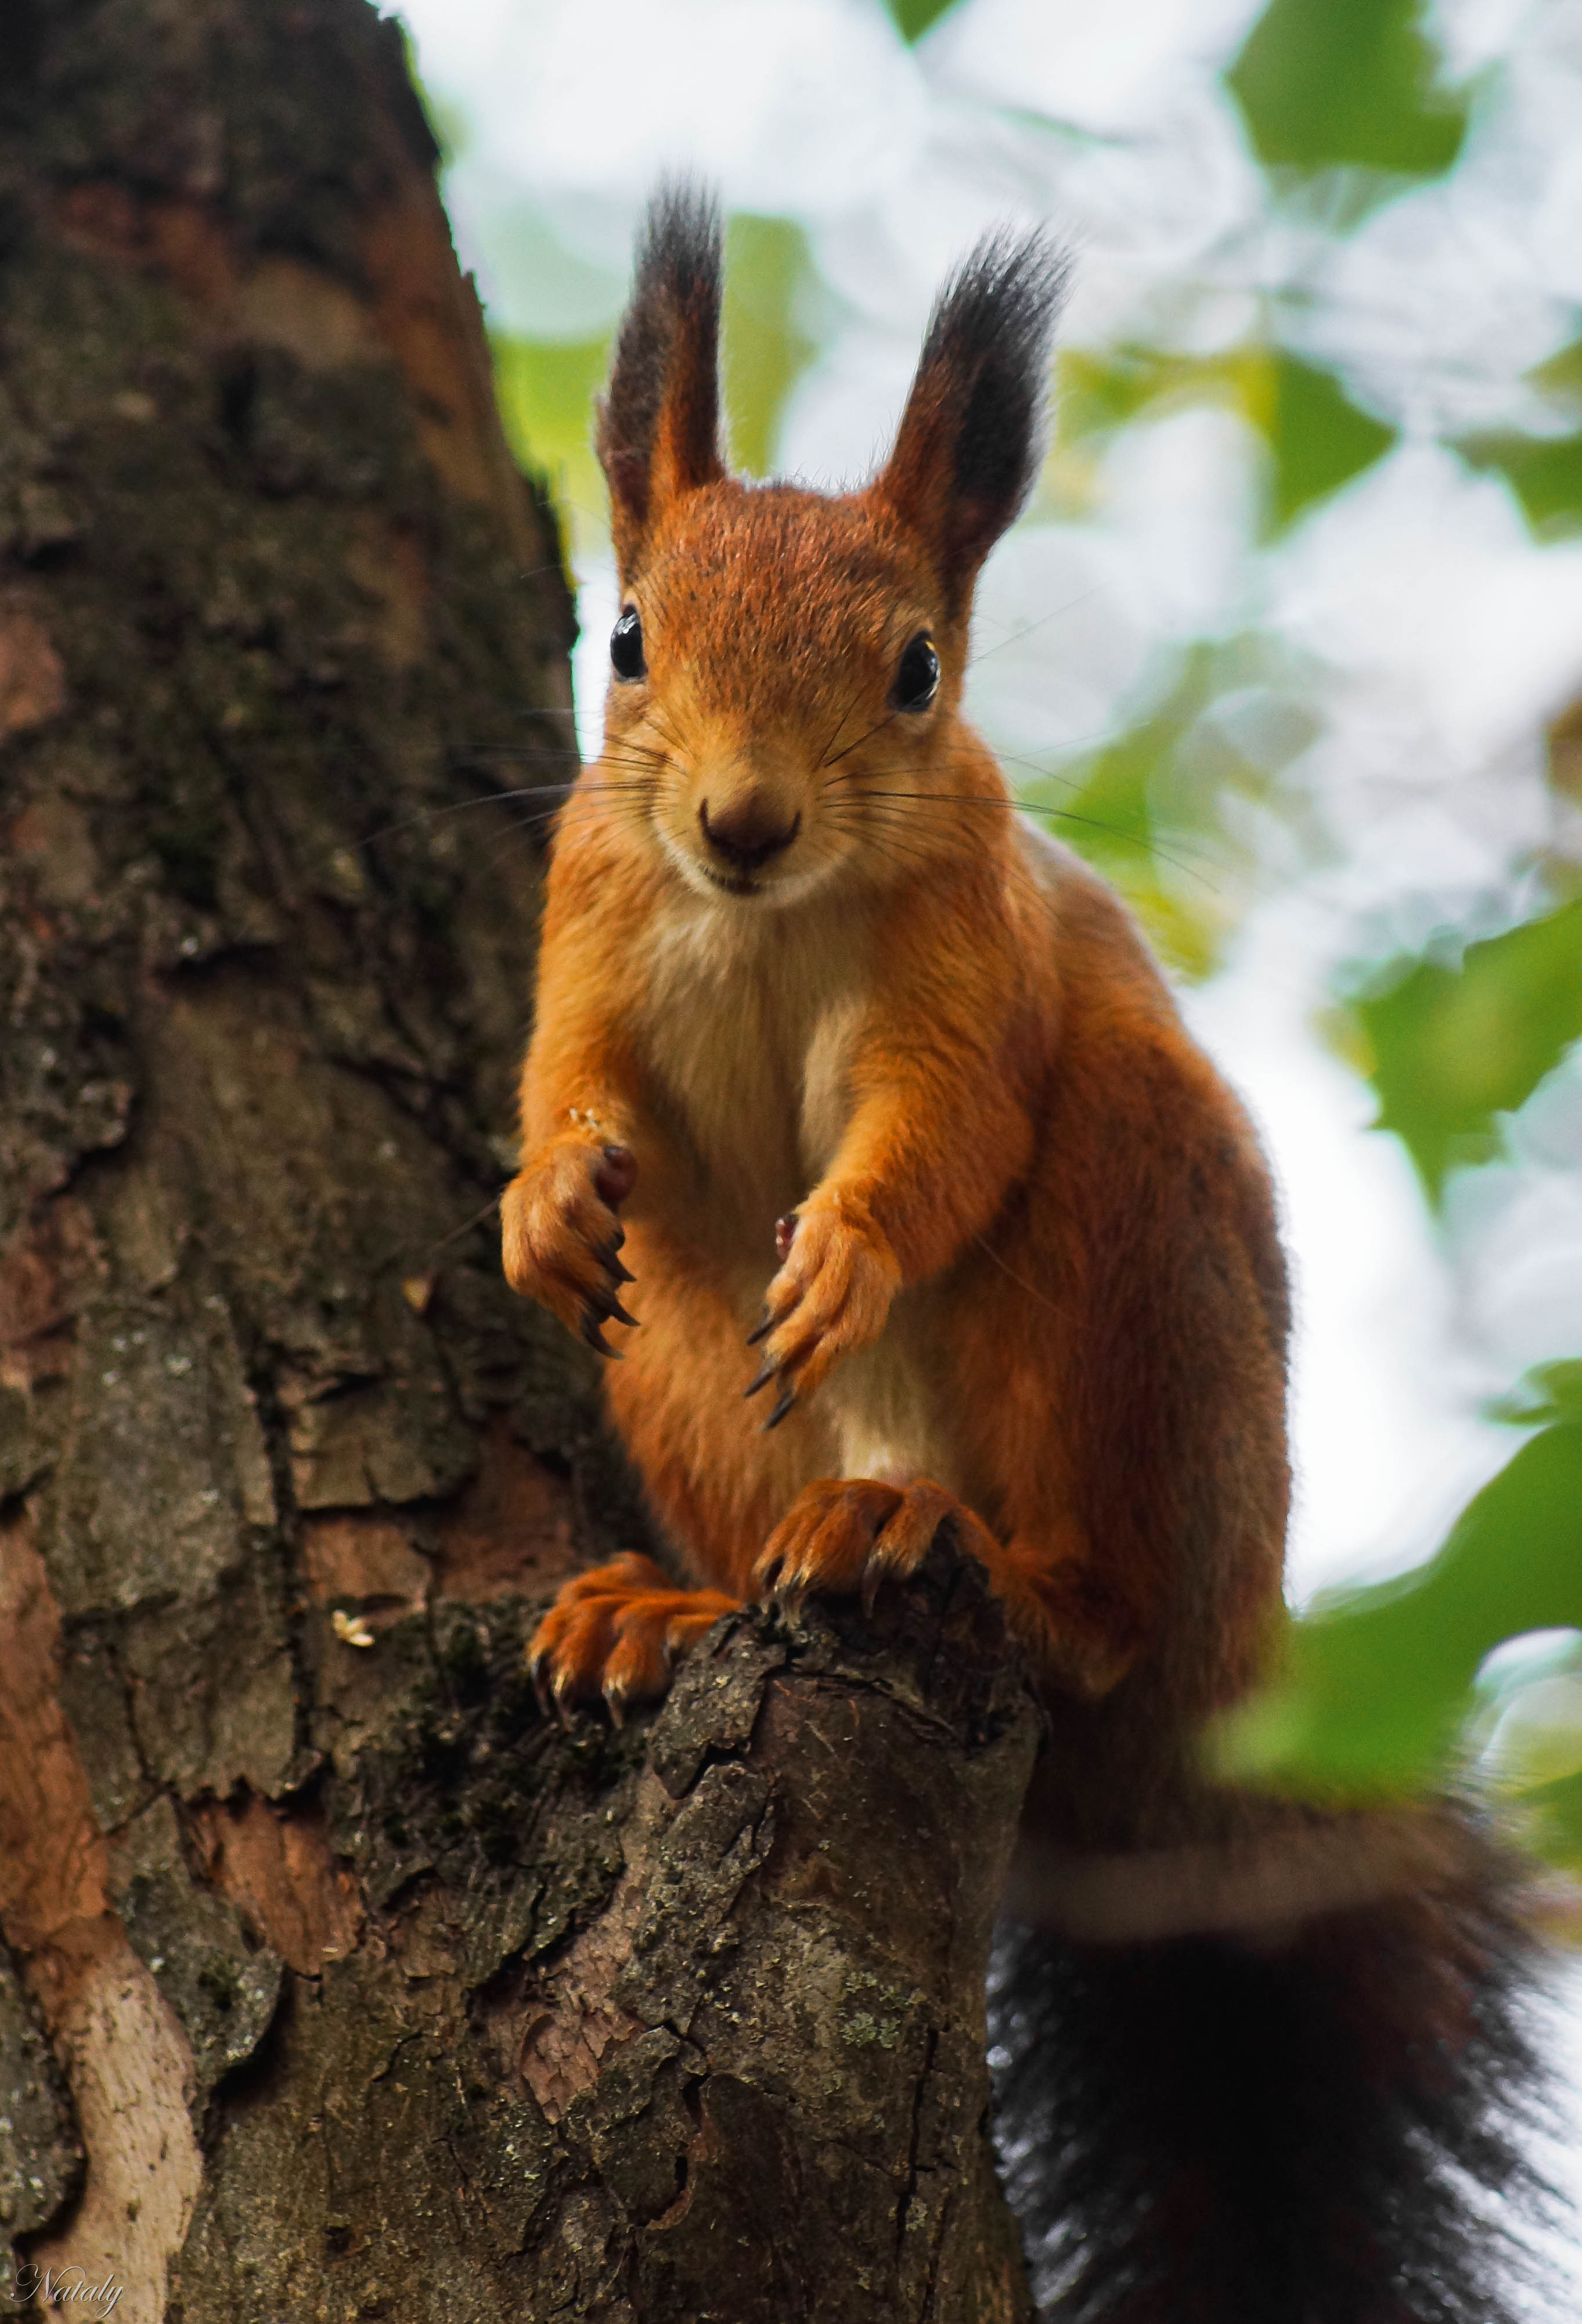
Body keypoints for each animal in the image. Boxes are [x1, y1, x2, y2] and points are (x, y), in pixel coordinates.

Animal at [502, 186, 1542, 2323]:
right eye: (624, 637)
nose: (739, 820)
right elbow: (568, 1085)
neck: (763, 917)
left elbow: (943, 1133)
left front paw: (850, 1252)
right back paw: (672, 1611)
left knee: (1101, 1607)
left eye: (915, 670)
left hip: (1125, 1269)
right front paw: (541, 1206)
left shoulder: (970, 965)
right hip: (687, 1376)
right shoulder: (591, 910)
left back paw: (967, 1554)